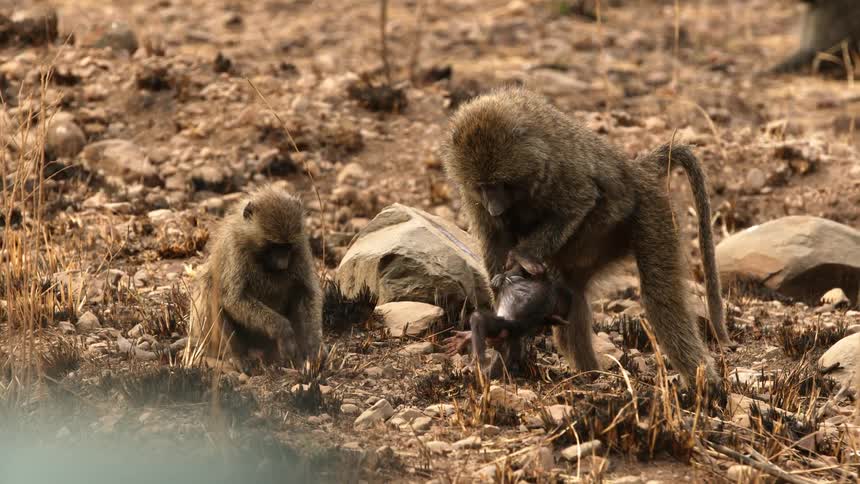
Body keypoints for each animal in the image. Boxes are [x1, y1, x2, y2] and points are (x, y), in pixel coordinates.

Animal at [188, 185, 322, 371]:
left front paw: (313, 349)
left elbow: (308, 292)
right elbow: (233, 299)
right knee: (210, 288)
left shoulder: (300, 244)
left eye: (287, 246)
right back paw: (237, 357)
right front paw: (284, 331)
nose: (282, 264)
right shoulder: (234, 248)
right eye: (274, 245)